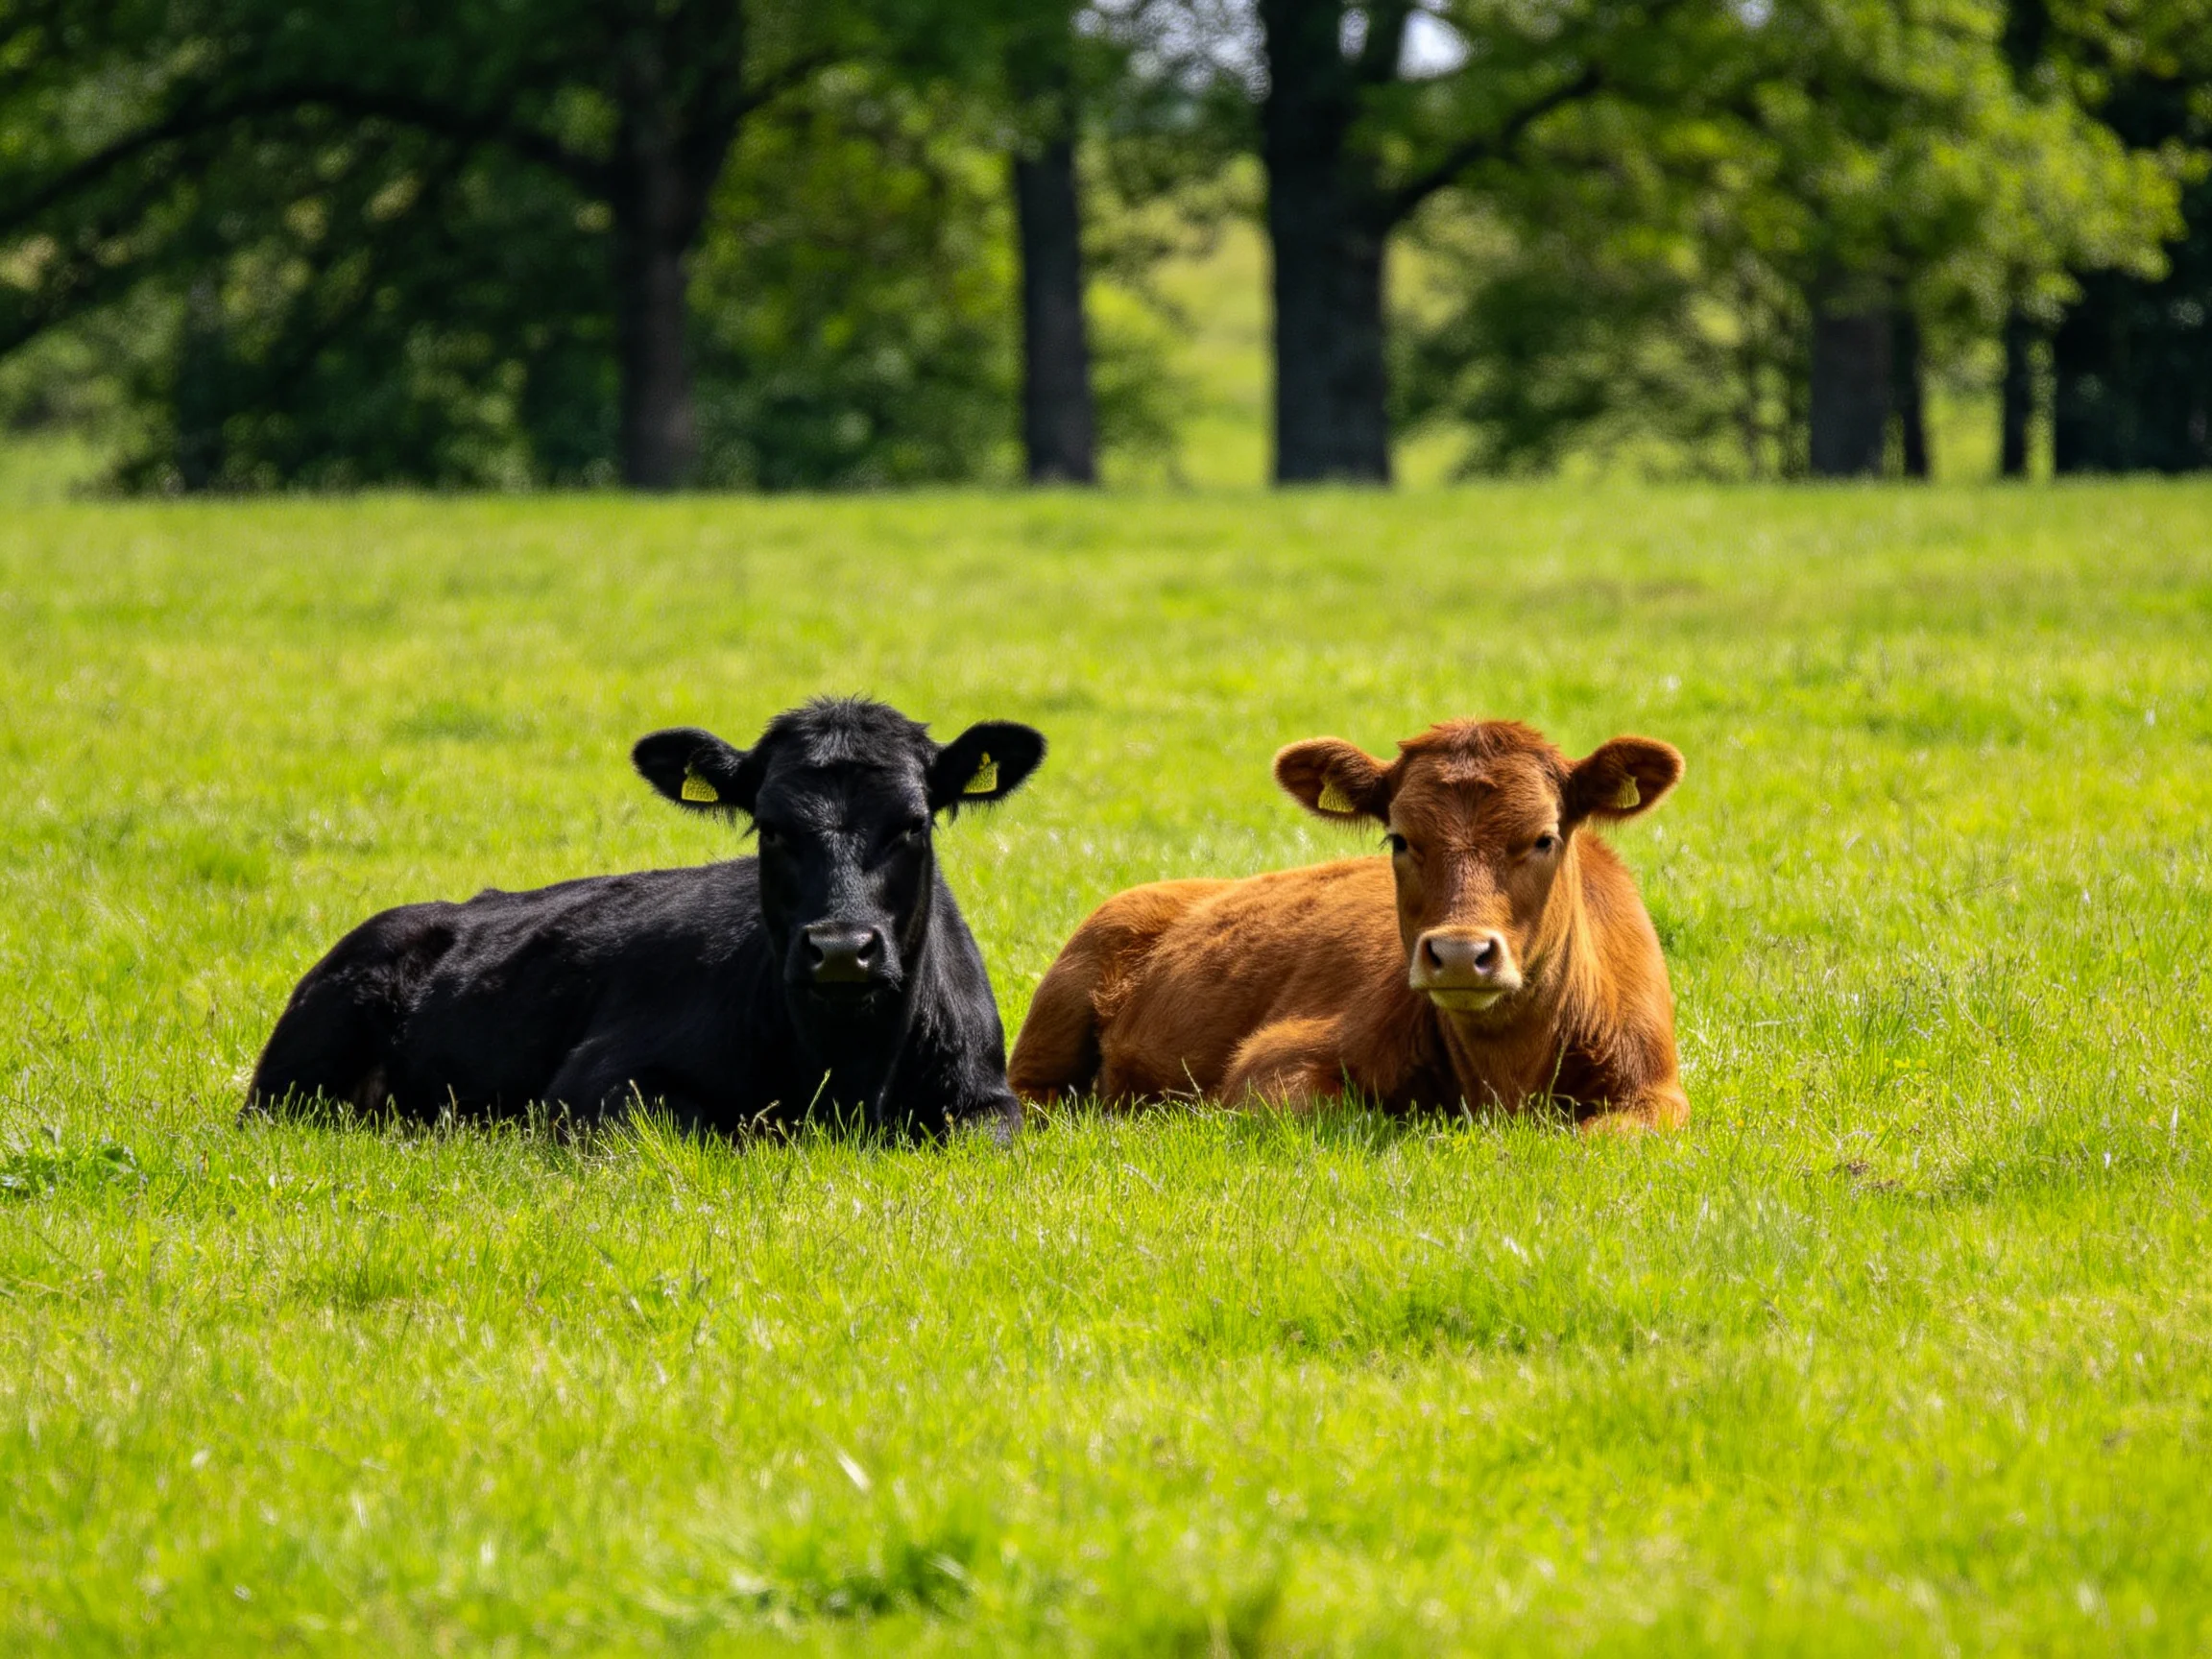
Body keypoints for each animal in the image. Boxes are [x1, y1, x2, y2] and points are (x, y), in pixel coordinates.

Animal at [246, 697, 1046, 1139]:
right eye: (771, 828)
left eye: (912, 824)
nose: (842, 949)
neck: (846, 1075)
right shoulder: (592, 1085)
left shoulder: (990, 1099)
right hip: (290, 1088)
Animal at [1009, 719, 1687, 1132]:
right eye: (1399, 839)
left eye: (1544, 838)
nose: (1460, 953)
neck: (1507, 1072)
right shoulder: (1269, 1065)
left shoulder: (1659, 1092)